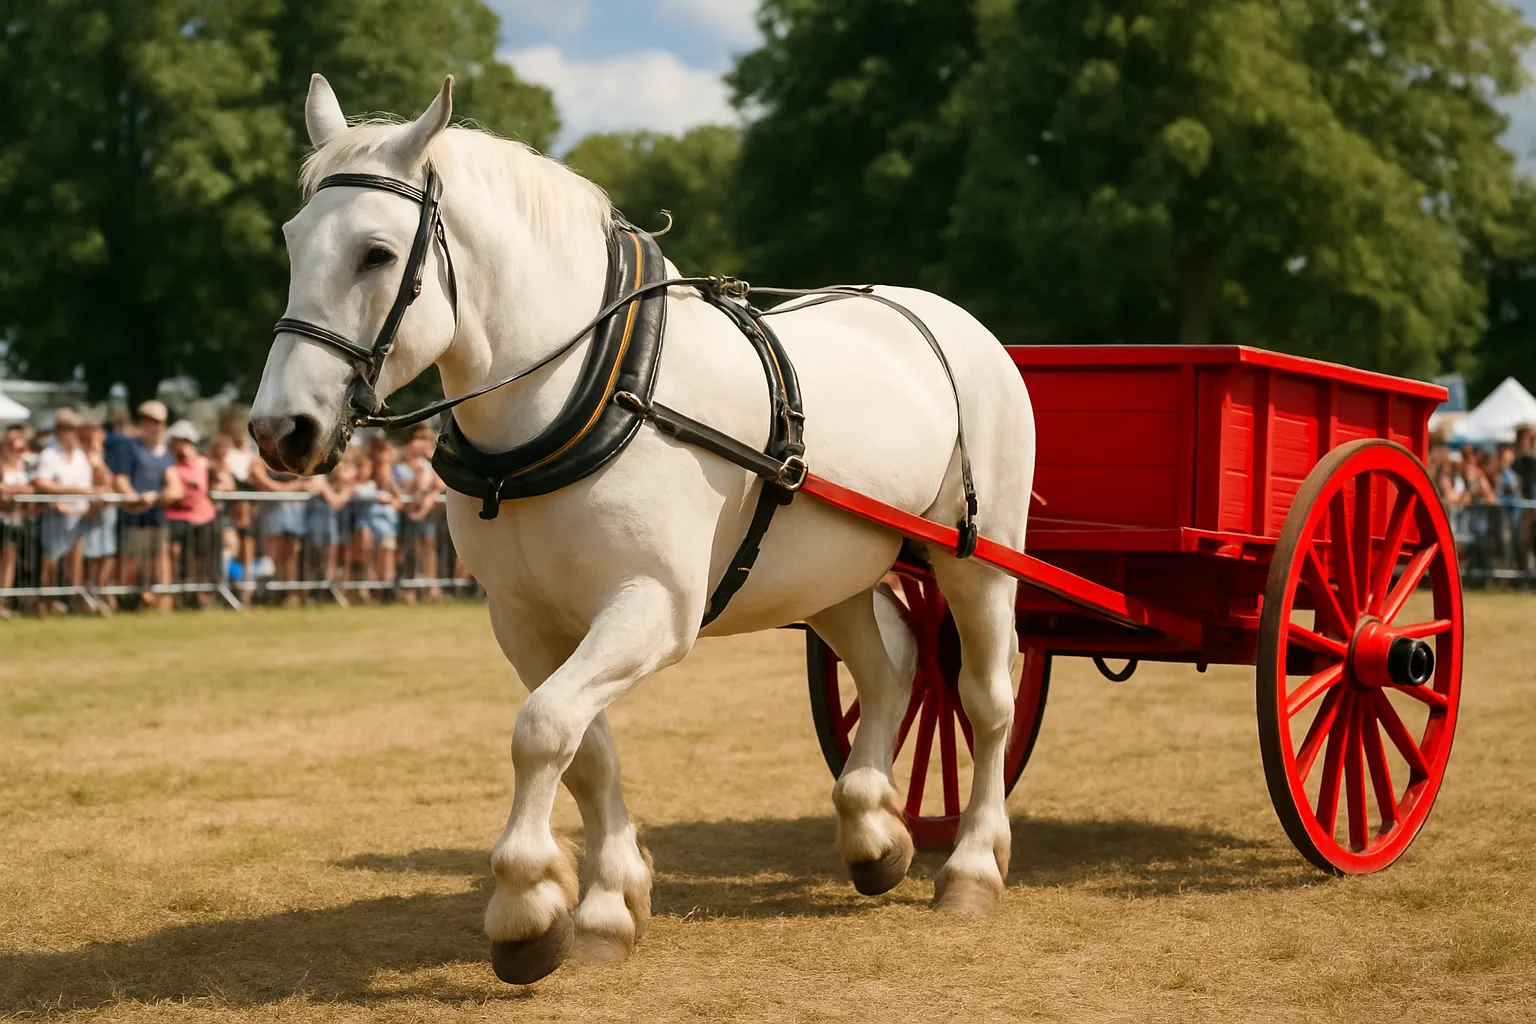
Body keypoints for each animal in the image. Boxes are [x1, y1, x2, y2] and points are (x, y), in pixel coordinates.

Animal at [249, 74, 1037, 984]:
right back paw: (873, 830)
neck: (579, 394)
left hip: (978, 560)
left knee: (984, 697)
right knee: (891, 668)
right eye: (292, 242)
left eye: (376, 254)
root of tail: (941, 313)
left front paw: (526, 907)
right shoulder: (525, 620)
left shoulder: (652, 608)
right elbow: (583, 748)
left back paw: (972, 865)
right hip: (829, 571)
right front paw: (608, 900)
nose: (280, 429)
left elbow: (542, 729)